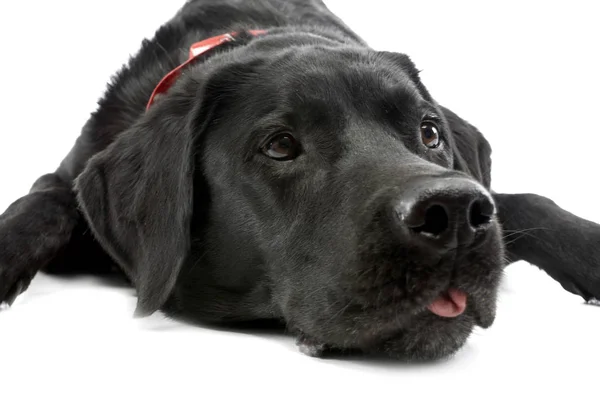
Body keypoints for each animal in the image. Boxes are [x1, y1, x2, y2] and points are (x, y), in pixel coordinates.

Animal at [0, 0, 596, 360]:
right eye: (281, 145)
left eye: (430, 131)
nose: (452, 213)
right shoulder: (69, 174)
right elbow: (42, 204)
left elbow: (531, 202)